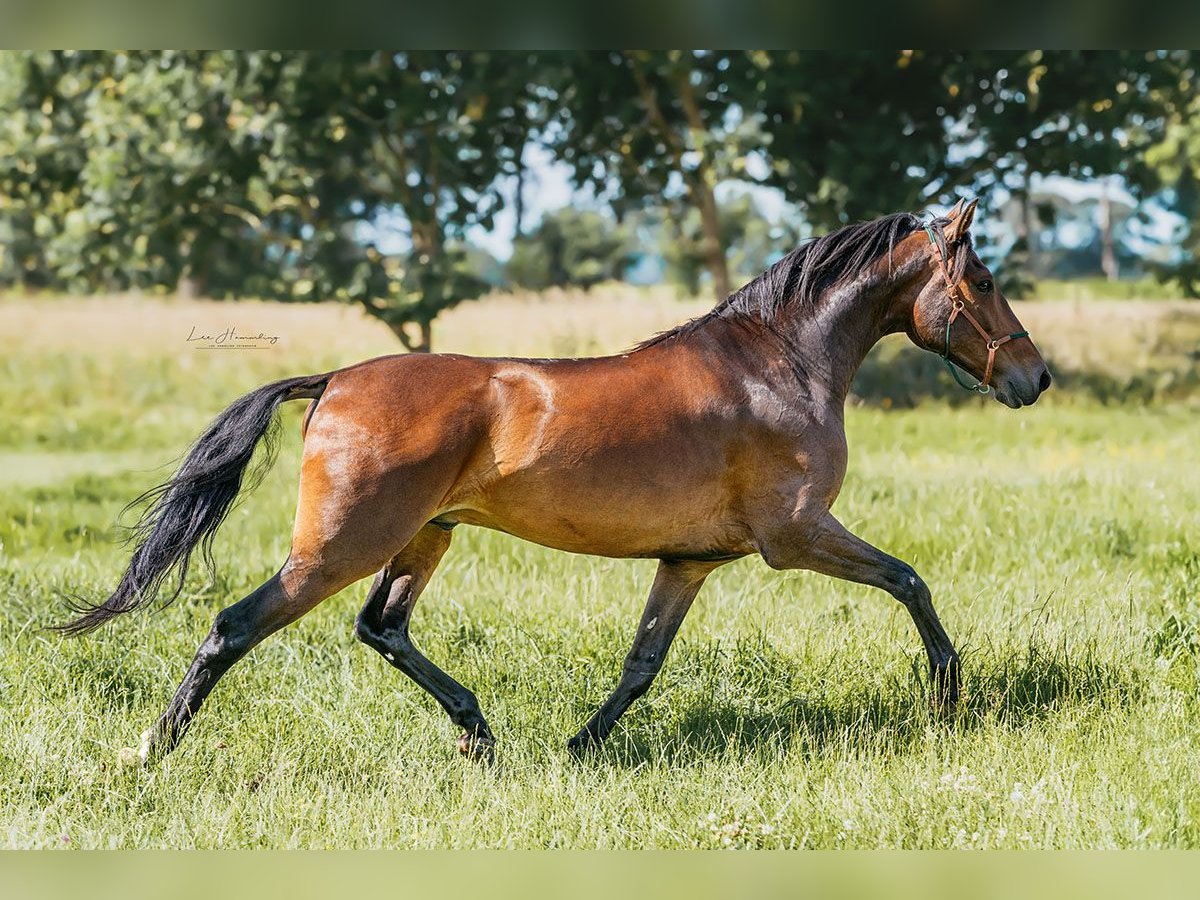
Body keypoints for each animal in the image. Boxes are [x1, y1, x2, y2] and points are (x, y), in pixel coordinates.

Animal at [60, 199, 1051, 768]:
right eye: (983, 278)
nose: (1033, 378)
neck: (779, 366)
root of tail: (334, 380)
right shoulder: (797, 536)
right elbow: (911, 581)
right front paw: (948, 698)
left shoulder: (690, 561)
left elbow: (642, 663)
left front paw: (581, 746)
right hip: (342, 546)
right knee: (234, 627)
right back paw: (150, 752)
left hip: (425, 537)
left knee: (382, 627)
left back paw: (480, 733)